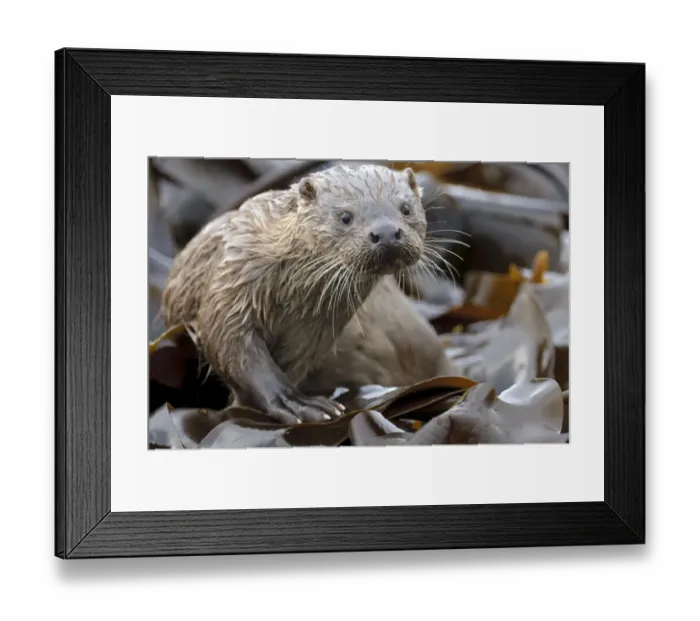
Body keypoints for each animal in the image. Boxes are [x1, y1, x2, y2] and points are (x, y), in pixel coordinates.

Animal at [161, 164, 457, 425]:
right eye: (345, 217)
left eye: (405, 209)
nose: (385, 232)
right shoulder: (231, 283)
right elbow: (232, 345)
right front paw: (292, 402)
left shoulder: (313, 333)